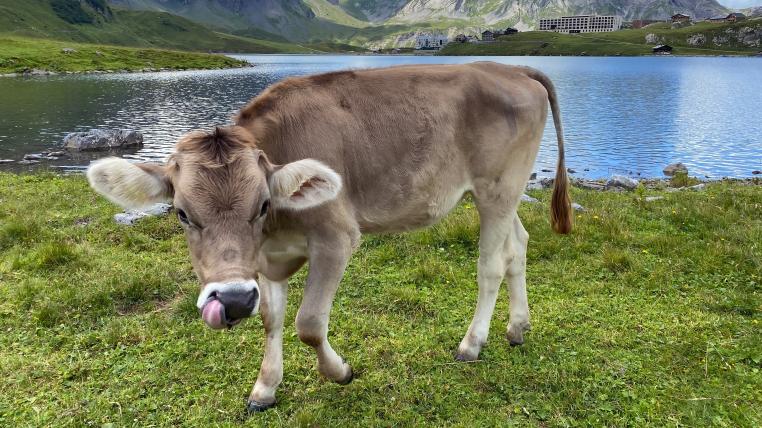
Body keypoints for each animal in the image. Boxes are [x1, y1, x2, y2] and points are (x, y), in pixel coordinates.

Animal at [87, 61, 572, 412]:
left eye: (262, 205)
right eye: (182, 213)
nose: (233, 300)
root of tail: (509, 68)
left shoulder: (337, 238)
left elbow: (308, 323)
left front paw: (340, 371)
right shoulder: (265, 262)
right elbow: (272, 320)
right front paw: (265, 388)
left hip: (497, 187)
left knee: (491, 264)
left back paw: (472, 344)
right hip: (507, 193)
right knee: (518, 246)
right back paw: (517, 327)